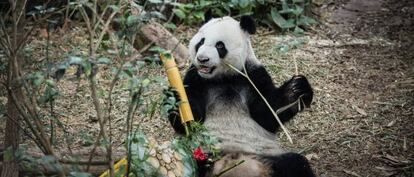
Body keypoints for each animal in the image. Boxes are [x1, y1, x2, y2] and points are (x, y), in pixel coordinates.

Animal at [167, 12, 314, 177]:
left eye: (219, 45)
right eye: (201, 42)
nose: (202, 59)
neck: (224, 77)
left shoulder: (253, 75)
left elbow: (268, 114)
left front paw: (296, 88)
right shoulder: (196, 78)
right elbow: (191, 121)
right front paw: (175, 99)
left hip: (267, 158)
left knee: (296, 164)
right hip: (200, 154)